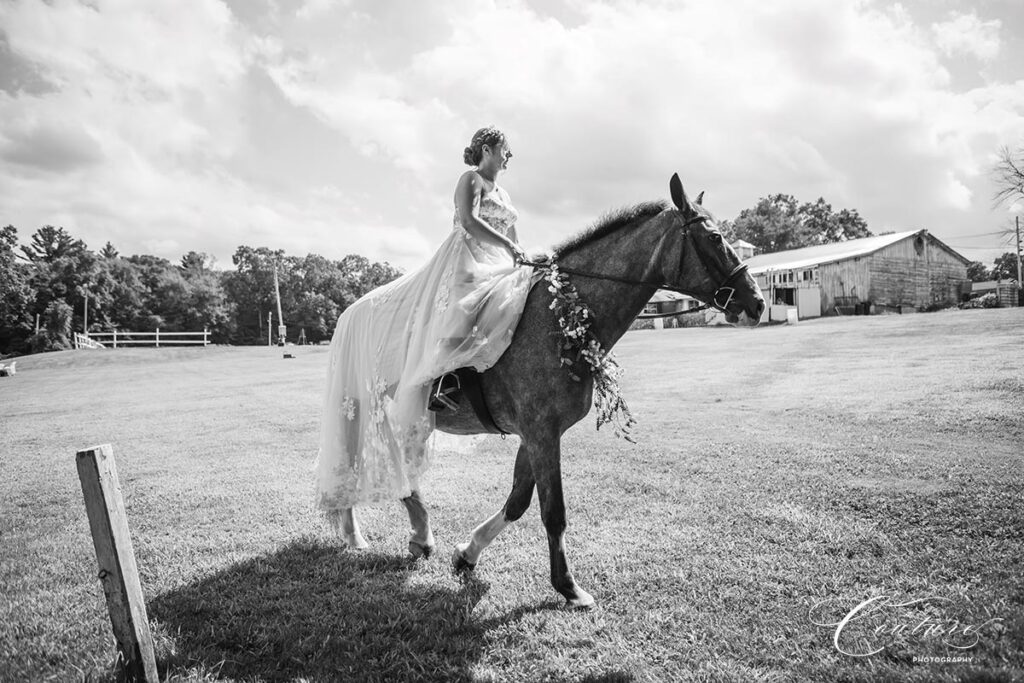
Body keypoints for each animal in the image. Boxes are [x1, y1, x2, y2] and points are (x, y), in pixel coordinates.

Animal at [331, 175, 765, 610]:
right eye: (714, 237)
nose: (757, 303)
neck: (562, 314)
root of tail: (352, 308)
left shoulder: (536, 434)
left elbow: (518, 501)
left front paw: (468, 553)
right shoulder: (542, 433)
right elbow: (553, 512)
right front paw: (568, 587)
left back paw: (419, 534)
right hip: (361, 406)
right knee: (352, 463)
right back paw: (359, 534)